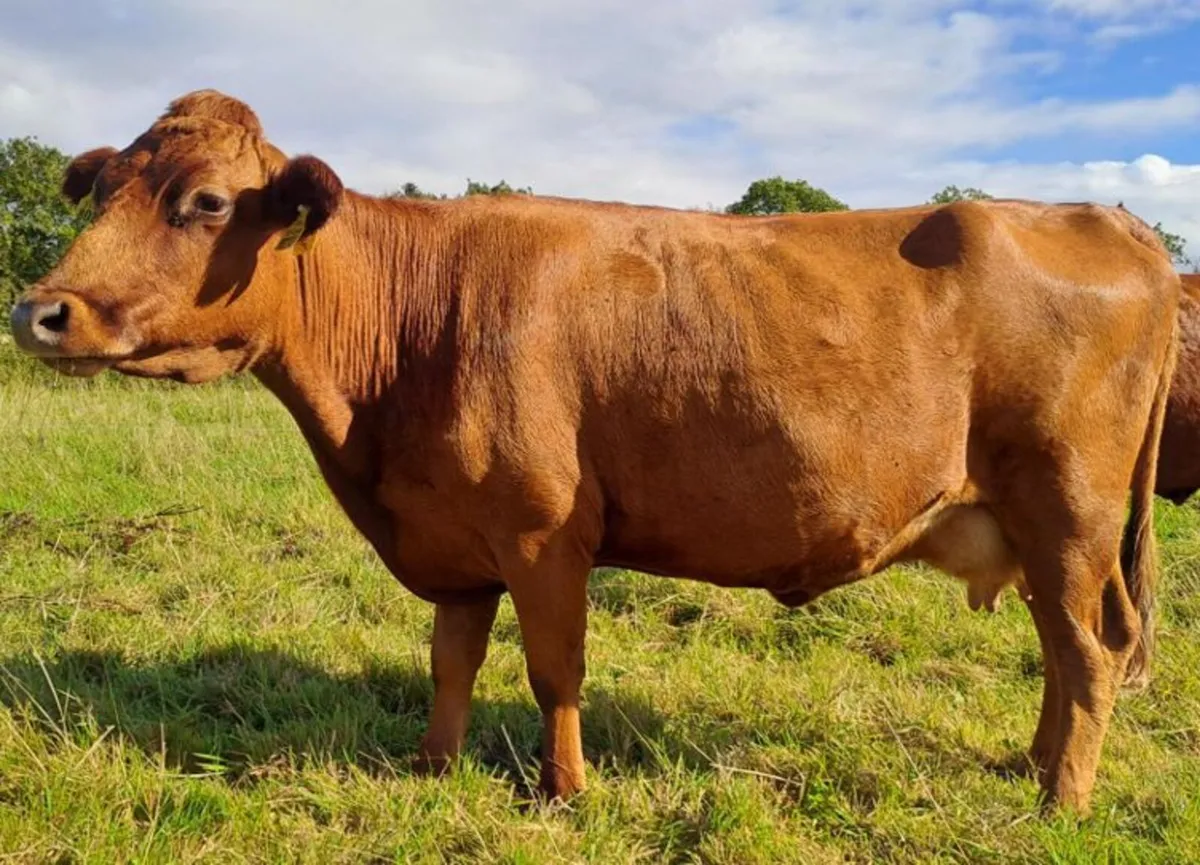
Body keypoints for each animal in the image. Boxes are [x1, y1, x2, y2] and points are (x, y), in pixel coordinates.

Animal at [8, 90, 1180, 815]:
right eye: (102, 189)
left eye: (205, 202)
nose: (41, 311)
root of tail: (1113, 220)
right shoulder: (456, 538)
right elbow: (453, 658)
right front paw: (432, 768)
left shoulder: (543, 533)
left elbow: (553, 666)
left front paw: (561, 790)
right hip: (1045, 531)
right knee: (1067, 650)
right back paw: (1030, 764)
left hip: (1069, 511)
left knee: (1088, 653)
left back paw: (1061, 798)